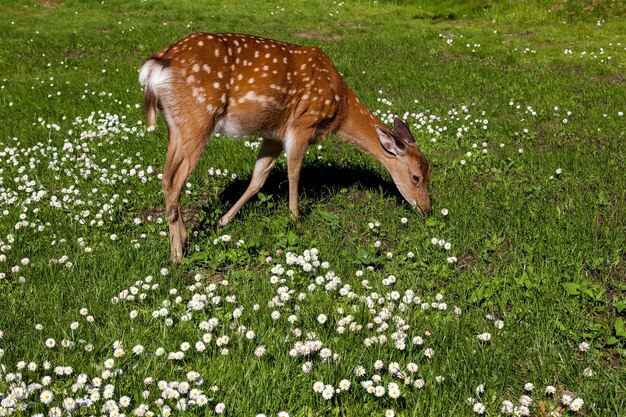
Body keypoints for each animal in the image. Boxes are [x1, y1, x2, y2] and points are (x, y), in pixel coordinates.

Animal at [139, 32, 428, 262]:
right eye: (416, 177)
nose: (427, 210)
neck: (340, 108)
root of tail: (157, 63)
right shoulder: (302, 123)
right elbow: (293, 172)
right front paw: (295, 219)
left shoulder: (274, 134)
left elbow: (258, 179)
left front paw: (223, 221)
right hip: (198, 118)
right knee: (174, 179)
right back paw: (177, 255)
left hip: (176, 126)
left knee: (167, 177)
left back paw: (185, 237)